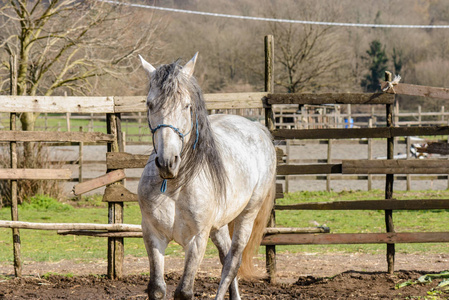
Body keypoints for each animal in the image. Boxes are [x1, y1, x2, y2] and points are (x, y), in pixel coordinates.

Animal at [136, 54, 276, 300]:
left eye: (187, 105)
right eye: (149, 104)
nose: (167, 162)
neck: (176, 185)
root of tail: (259, 129)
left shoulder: (196, 240)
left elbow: (184, 291)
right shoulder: (153, 235)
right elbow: (157, 289)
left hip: (247, 216)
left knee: (232, 262)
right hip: (219, 225)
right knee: (225, 256)